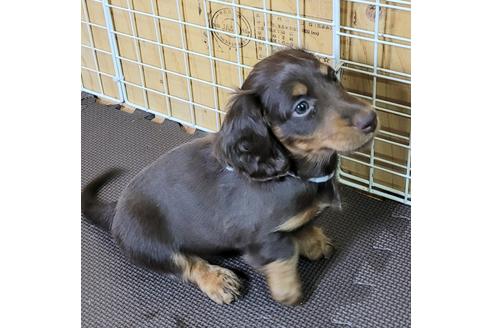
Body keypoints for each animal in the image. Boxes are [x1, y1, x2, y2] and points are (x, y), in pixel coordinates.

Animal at [82, 48, 378, 304]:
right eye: (301, 107)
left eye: (333, 77)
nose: (371, 119)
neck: (296, 172)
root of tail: (116, 209)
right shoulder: (259, 236)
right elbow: (283, 252)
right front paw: (288, 290)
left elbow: (301, 226)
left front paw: (313, 239)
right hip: (148, 242)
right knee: (184, 263)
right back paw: (218, 280)